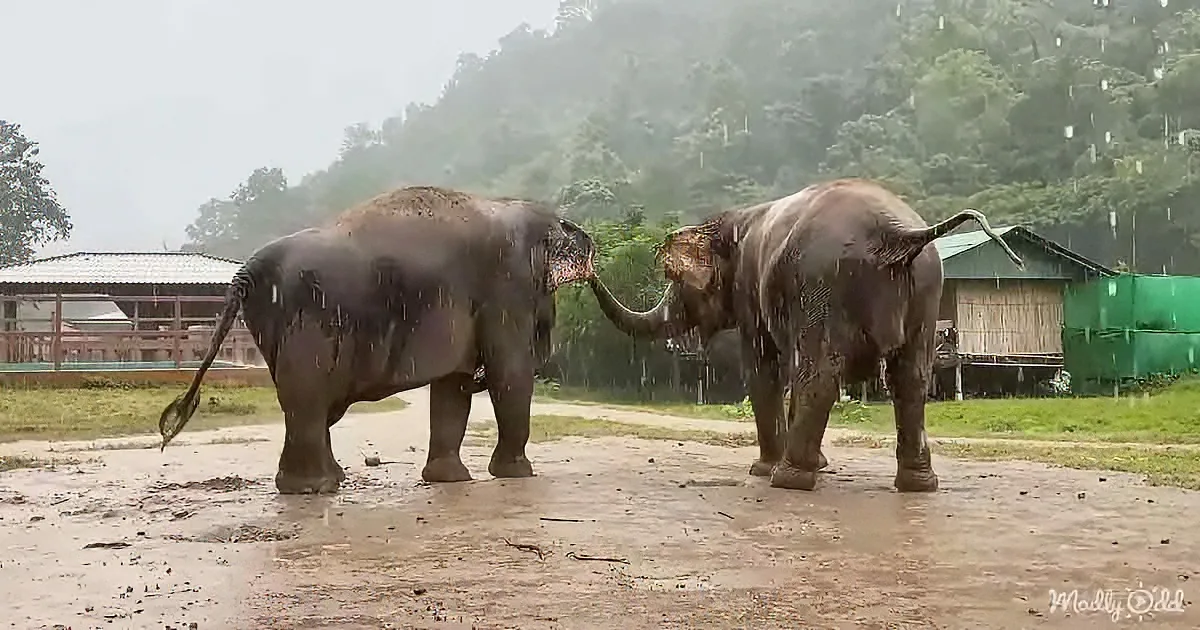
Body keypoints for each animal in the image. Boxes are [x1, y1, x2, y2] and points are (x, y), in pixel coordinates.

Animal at [158, 185, 596, 494]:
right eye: (546, 302)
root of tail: (244, 272)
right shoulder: (507, 286)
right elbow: (509, 373)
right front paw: (517, 475)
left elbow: (452, 386)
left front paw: (450, 481)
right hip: (311, 318)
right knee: (309, 397)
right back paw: (316, 487)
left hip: (275, 324)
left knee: (306, 403)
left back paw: (325, 481)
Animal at [588, 178, 1022, 492]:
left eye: (676, 281)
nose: (589, 267)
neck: (732, 220)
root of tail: (895, 234)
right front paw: (820, 465)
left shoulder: (751, 290)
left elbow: (765, 368)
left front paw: (761, 469)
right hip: (927, 287)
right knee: (910, 378)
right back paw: (918, 485)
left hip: (825, 282)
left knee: (821, 375)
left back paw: (788, 479)